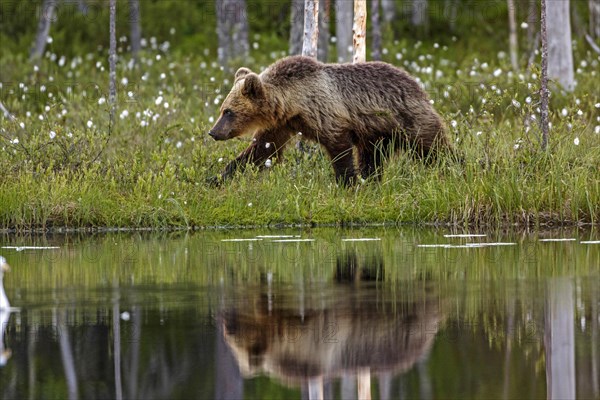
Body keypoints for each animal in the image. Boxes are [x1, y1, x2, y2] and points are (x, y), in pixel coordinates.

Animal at [209, 55, 448, 186]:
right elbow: (261, 150)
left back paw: (453, 168)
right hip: (375, 134)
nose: (213, 132)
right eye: (222, 110)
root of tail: (416, 84)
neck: (293, 103)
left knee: (434, 147)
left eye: (228, 112)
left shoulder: (326, 113)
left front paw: (348, 183)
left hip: (407, 118)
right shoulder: (281, 125)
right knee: (372, 158)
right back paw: (372, 180)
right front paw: (217, 178)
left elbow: (339, 150)